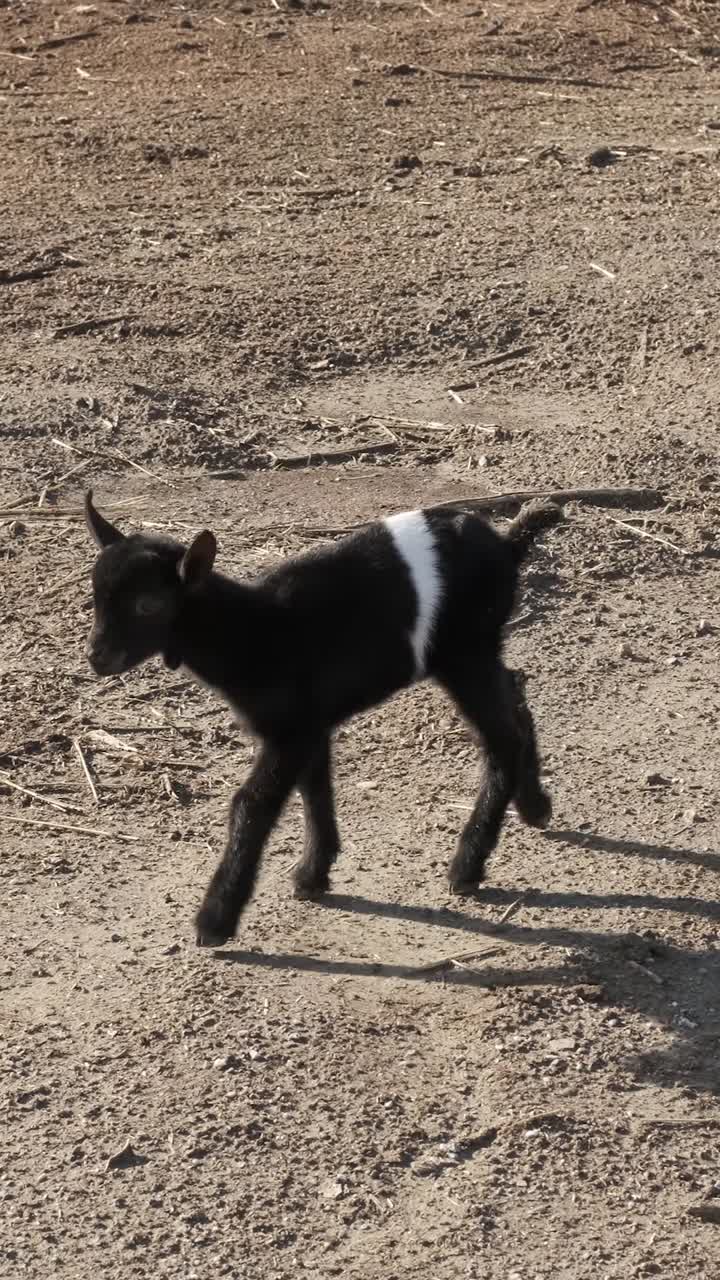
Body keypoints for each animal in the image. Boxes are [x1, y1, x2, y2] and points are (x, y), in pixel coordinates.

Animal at [84, 491, 560, 946]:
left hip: (464, 650)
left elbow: (252, 803)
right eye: (96, 596)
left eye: (148, 605)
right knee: (515, 700)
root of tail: (507, 547)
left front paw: (215, 920)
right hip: (477, 649)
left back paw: (467, 866)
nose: (96, 656)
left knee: (502, 738)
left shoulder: (291, 731)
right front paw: (313, 874)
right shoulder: (311, 724)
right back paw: (534, 805)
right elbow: (314, 789)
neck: (252, 633)